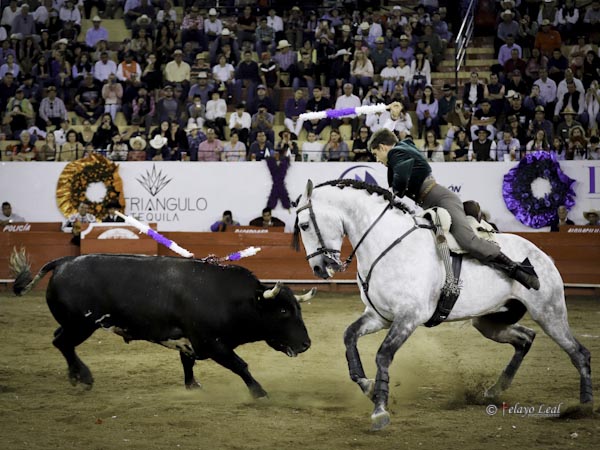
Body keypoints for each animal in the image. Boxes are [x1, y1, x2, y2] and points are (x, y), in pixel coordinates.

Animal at [10, 255, 314, 400]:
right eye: (284, 311)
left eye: (297, 310)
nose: (306, 344)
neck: (230, 298)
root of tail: (64, 262)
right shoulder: (212, 343)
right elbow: (241, 365)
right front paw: (260, 393)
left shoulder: (190, 342)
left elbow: (187, 362)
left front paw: (192, 386)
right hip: (81, 325)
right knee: (62, 342)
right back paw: (83, 377)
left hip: (74, 325)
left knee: (59, 340)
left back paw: (75, 375)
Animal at [292, 178, 592, 430]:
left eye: (304, 225)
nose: (319, 268)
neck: (386, 242)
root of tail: (543, 255)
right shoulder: (380, 316)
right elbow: (349, 336)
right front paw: (368, 386)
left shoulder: (409, 317)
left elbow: (383, 355)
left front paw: (380, 409)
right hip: (489, 321)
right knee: (525, 338)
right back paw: (493, 391)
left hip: (550, 313)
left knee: (578, 352)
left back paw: (584, 405)